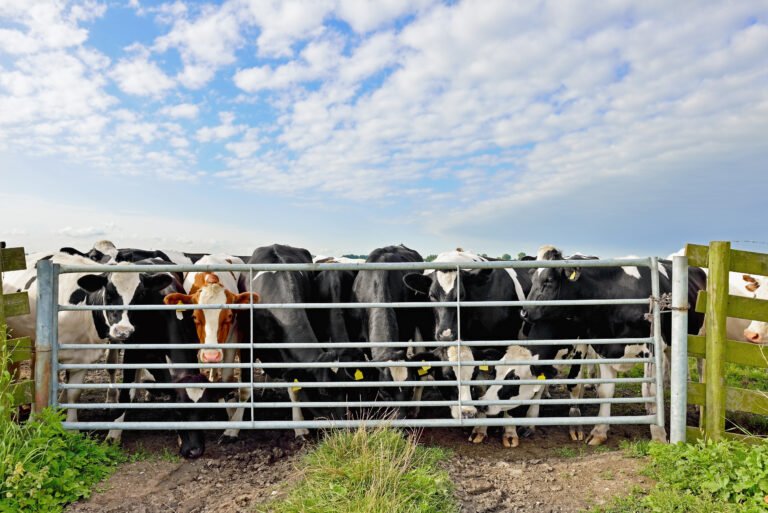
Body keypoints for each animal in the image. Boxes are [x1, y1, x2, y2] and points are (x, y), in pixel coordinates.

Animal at [520, 245, 704, 444]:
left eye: (549, 280)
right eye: (532, 278)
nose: (523, 312)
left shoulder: (653, 348)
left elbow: (650, 392)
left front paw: (658, 435)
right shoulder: (604, 347)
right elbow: (605, 391)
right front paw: (599, 431)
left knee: (702, 368)